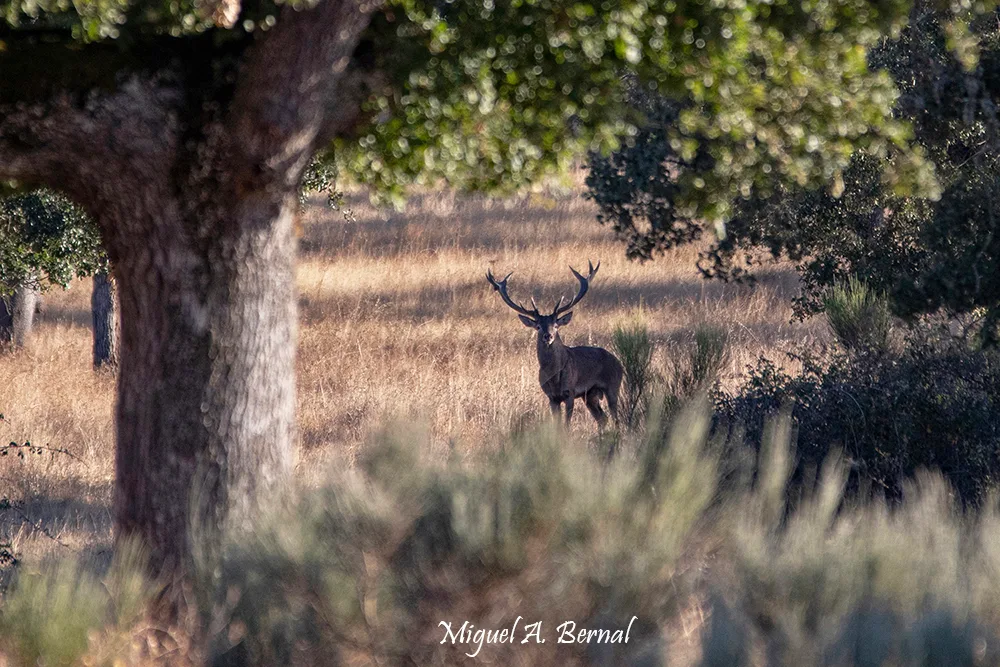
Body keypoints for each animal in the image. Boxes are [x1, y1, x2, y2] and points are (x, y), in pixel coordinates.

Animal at [486, 261, 623, 428]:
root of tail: (619, 363)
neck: (554, 377)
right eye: (538, 326)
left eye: (556, 325)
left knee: (615, 418)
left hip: (613, 387)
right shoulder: (552, 397)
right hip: (590, 395)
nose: (548, 336)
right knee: (602, 418)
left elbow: (566, 425)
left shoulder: (570, 392)